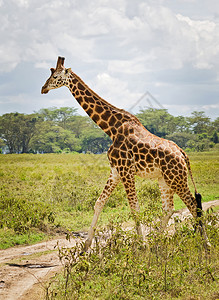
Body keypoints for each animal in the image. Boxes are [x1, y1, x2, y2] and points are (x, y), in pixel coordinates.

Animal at [41, 56, 210, 251]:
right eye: (50, 74)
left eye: (55, 76)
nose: (43, 88)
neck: (112, 129)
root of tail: (183, 154)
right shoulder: (115, 170)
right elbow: (99, 203)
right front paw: (85, 248)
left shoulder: (126, 170)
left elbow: (135, 209)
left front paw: (141, 246)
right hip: (164, 179)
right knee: (169, 208)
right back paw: (156, 244)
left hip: (177, 178)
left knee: (193, 205)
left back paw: (206, 245)